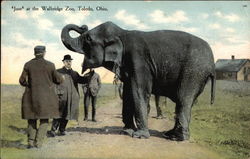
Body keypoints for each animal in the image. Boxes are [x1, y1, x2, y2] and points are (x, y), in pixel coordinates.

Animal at [60, 20, 215, 140]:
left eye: (88, 39)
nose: (83, 26)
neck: (122, 33)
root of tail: (212, 63)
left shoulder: (139, 61)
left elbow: (139, 91)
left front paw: (139, 136)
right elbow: (129, 91)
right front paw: (127, 131)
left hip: (193, 71)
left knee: (183, 99)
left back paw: (177, 138)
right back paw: (169, 134)